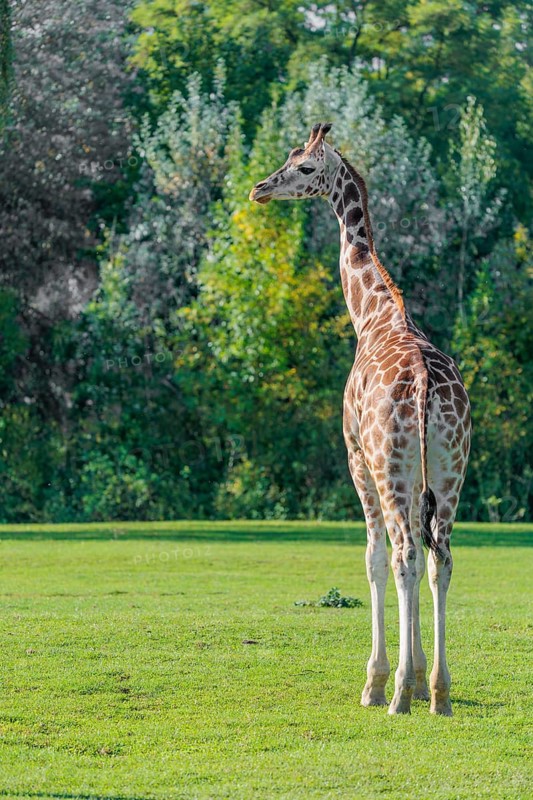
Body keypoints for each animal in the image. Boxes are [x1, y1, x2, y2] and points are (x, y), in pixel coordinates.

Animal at [249, 122, 471, 716]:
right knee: (439, 557)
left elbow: (371, 557)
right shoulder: (418, 475)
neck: (371, 312)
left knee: (403, 554)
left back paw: (396, 697)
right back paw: (438, 693)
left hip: (388, 466)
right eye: (287, 158)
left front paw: (377, 682)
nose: (260, 189)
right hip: (450, 468)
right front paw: (414, 674)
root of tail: (425, 389)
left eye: (304, 167)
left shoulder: (354, 454)